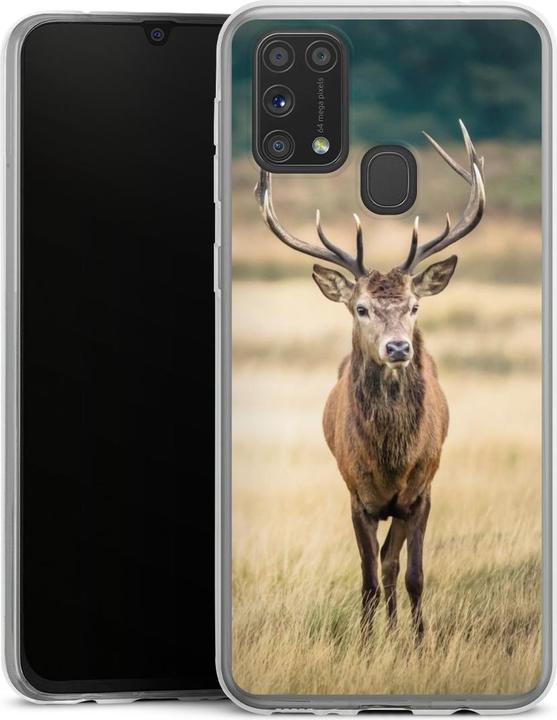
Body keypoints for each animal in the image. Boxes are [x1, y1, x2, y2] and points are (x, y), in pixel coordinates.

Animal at [254, 121, 486, 642]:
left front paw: (418, 642)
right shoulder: (356, 495)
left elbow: (412, 573)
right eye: (361, 308)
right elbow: (366, 579)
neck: (390, 461)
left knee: (392, 563)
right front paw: (364, 642)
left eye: (415, 306)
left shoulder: (420, 492)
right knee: (379, 566)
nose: (398, 348)